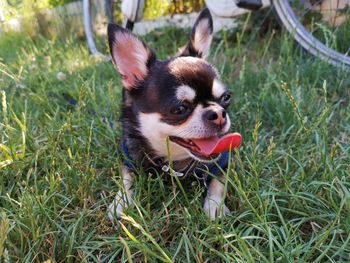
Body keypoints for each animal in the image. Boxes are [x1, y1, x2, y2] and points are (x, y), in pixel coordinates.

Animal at [106, 8, 232, 221]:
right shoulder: (128, 159)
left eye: (226, 98)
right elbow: (126, 178)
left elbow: (218, 181)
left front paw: (215, 205)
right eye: (179, 109)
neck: (172, 162)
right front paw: (120, 202)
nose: (218, 113)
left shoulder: (223, 161)